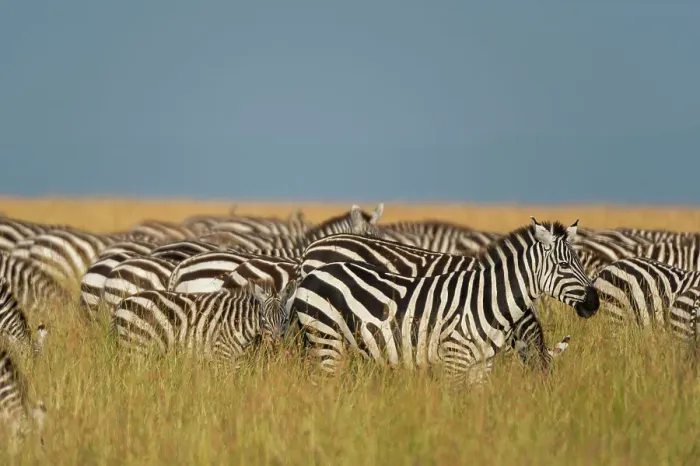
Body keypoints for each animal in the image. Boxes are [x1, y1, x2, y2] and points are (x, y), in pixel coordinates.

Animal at [111, 280, 298, 364]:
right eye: (264, 318)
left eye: (285, 319)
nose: (277, 342)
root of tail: (123, 302)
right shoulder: (223, 355)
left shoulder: (237, 359)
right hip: (137, 347)